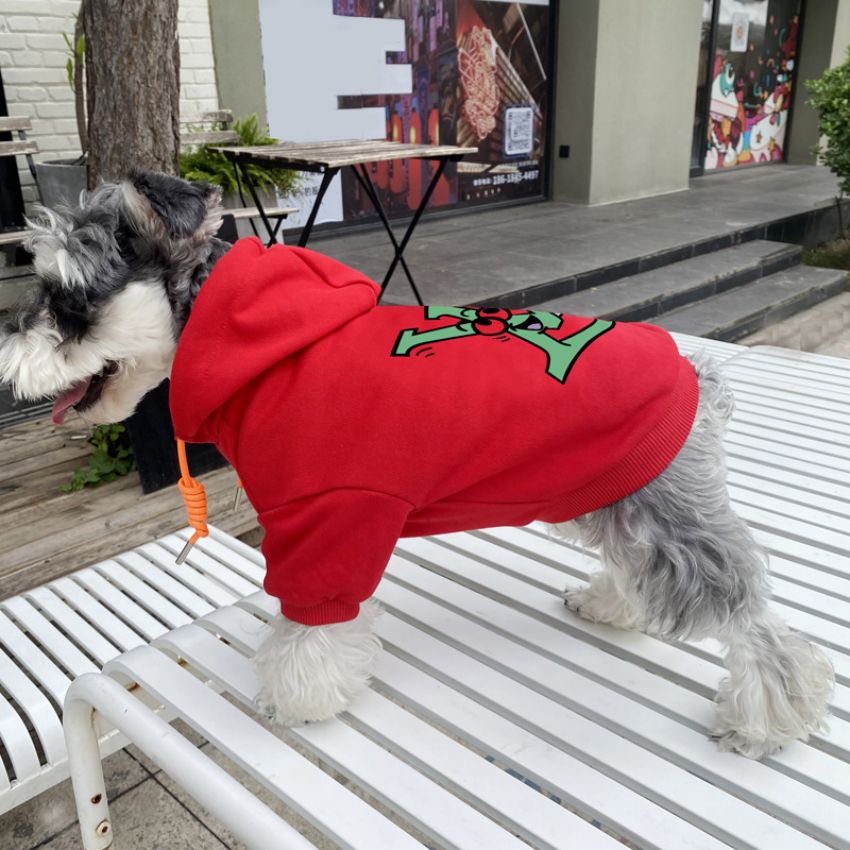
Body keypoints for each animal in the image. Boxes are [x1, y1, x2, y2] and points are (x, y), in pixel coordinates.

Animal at [0, 171, 836, 756]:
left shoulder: (326, 524)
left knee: (754, 622)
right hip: (613, 493)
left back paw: (769, 721)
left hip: (668, 518)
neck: (260, 350)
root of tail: (699, 373)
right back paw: (611, 608)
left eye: (68, 303)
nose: (8, 365)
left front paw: (295, 701)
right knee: (636, 568)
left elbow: (309, 628)